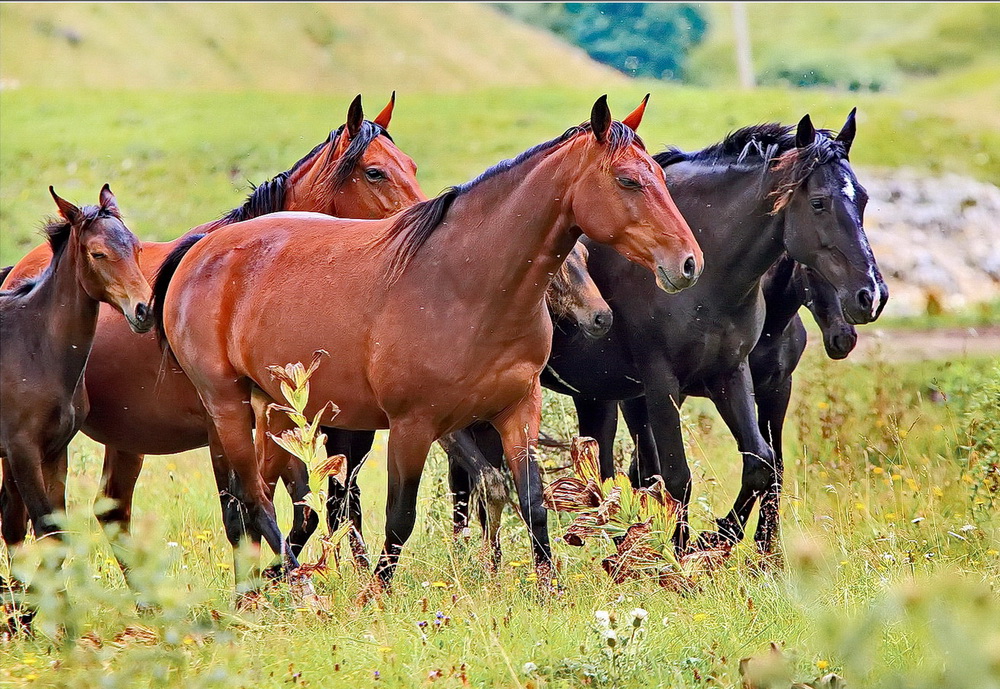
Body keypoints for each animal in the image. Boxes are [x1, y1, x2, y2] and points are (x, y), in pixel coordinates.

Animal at [0, 187, 151, 544]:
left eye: (137, 248)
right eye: (98, 254)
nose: (144, 310)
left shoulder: (55, 449)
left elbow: (56, 532)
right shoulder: (21, 449)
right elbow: (44, 526)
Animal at [154, 95, 704, 592]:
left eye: (658, 175)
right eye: (628, 180)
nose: (688, 263)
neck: (465, 285)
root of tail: (202, 249)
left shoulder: (516, 410)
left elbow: (531, 500)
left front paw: (549, 587)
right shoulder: (412, 426)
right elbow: (400, 516)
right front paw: (377, 592)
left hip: (274, 409)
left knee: (264, 497)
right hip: (227, 405)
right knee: (252, 496)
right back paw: (290, 581)